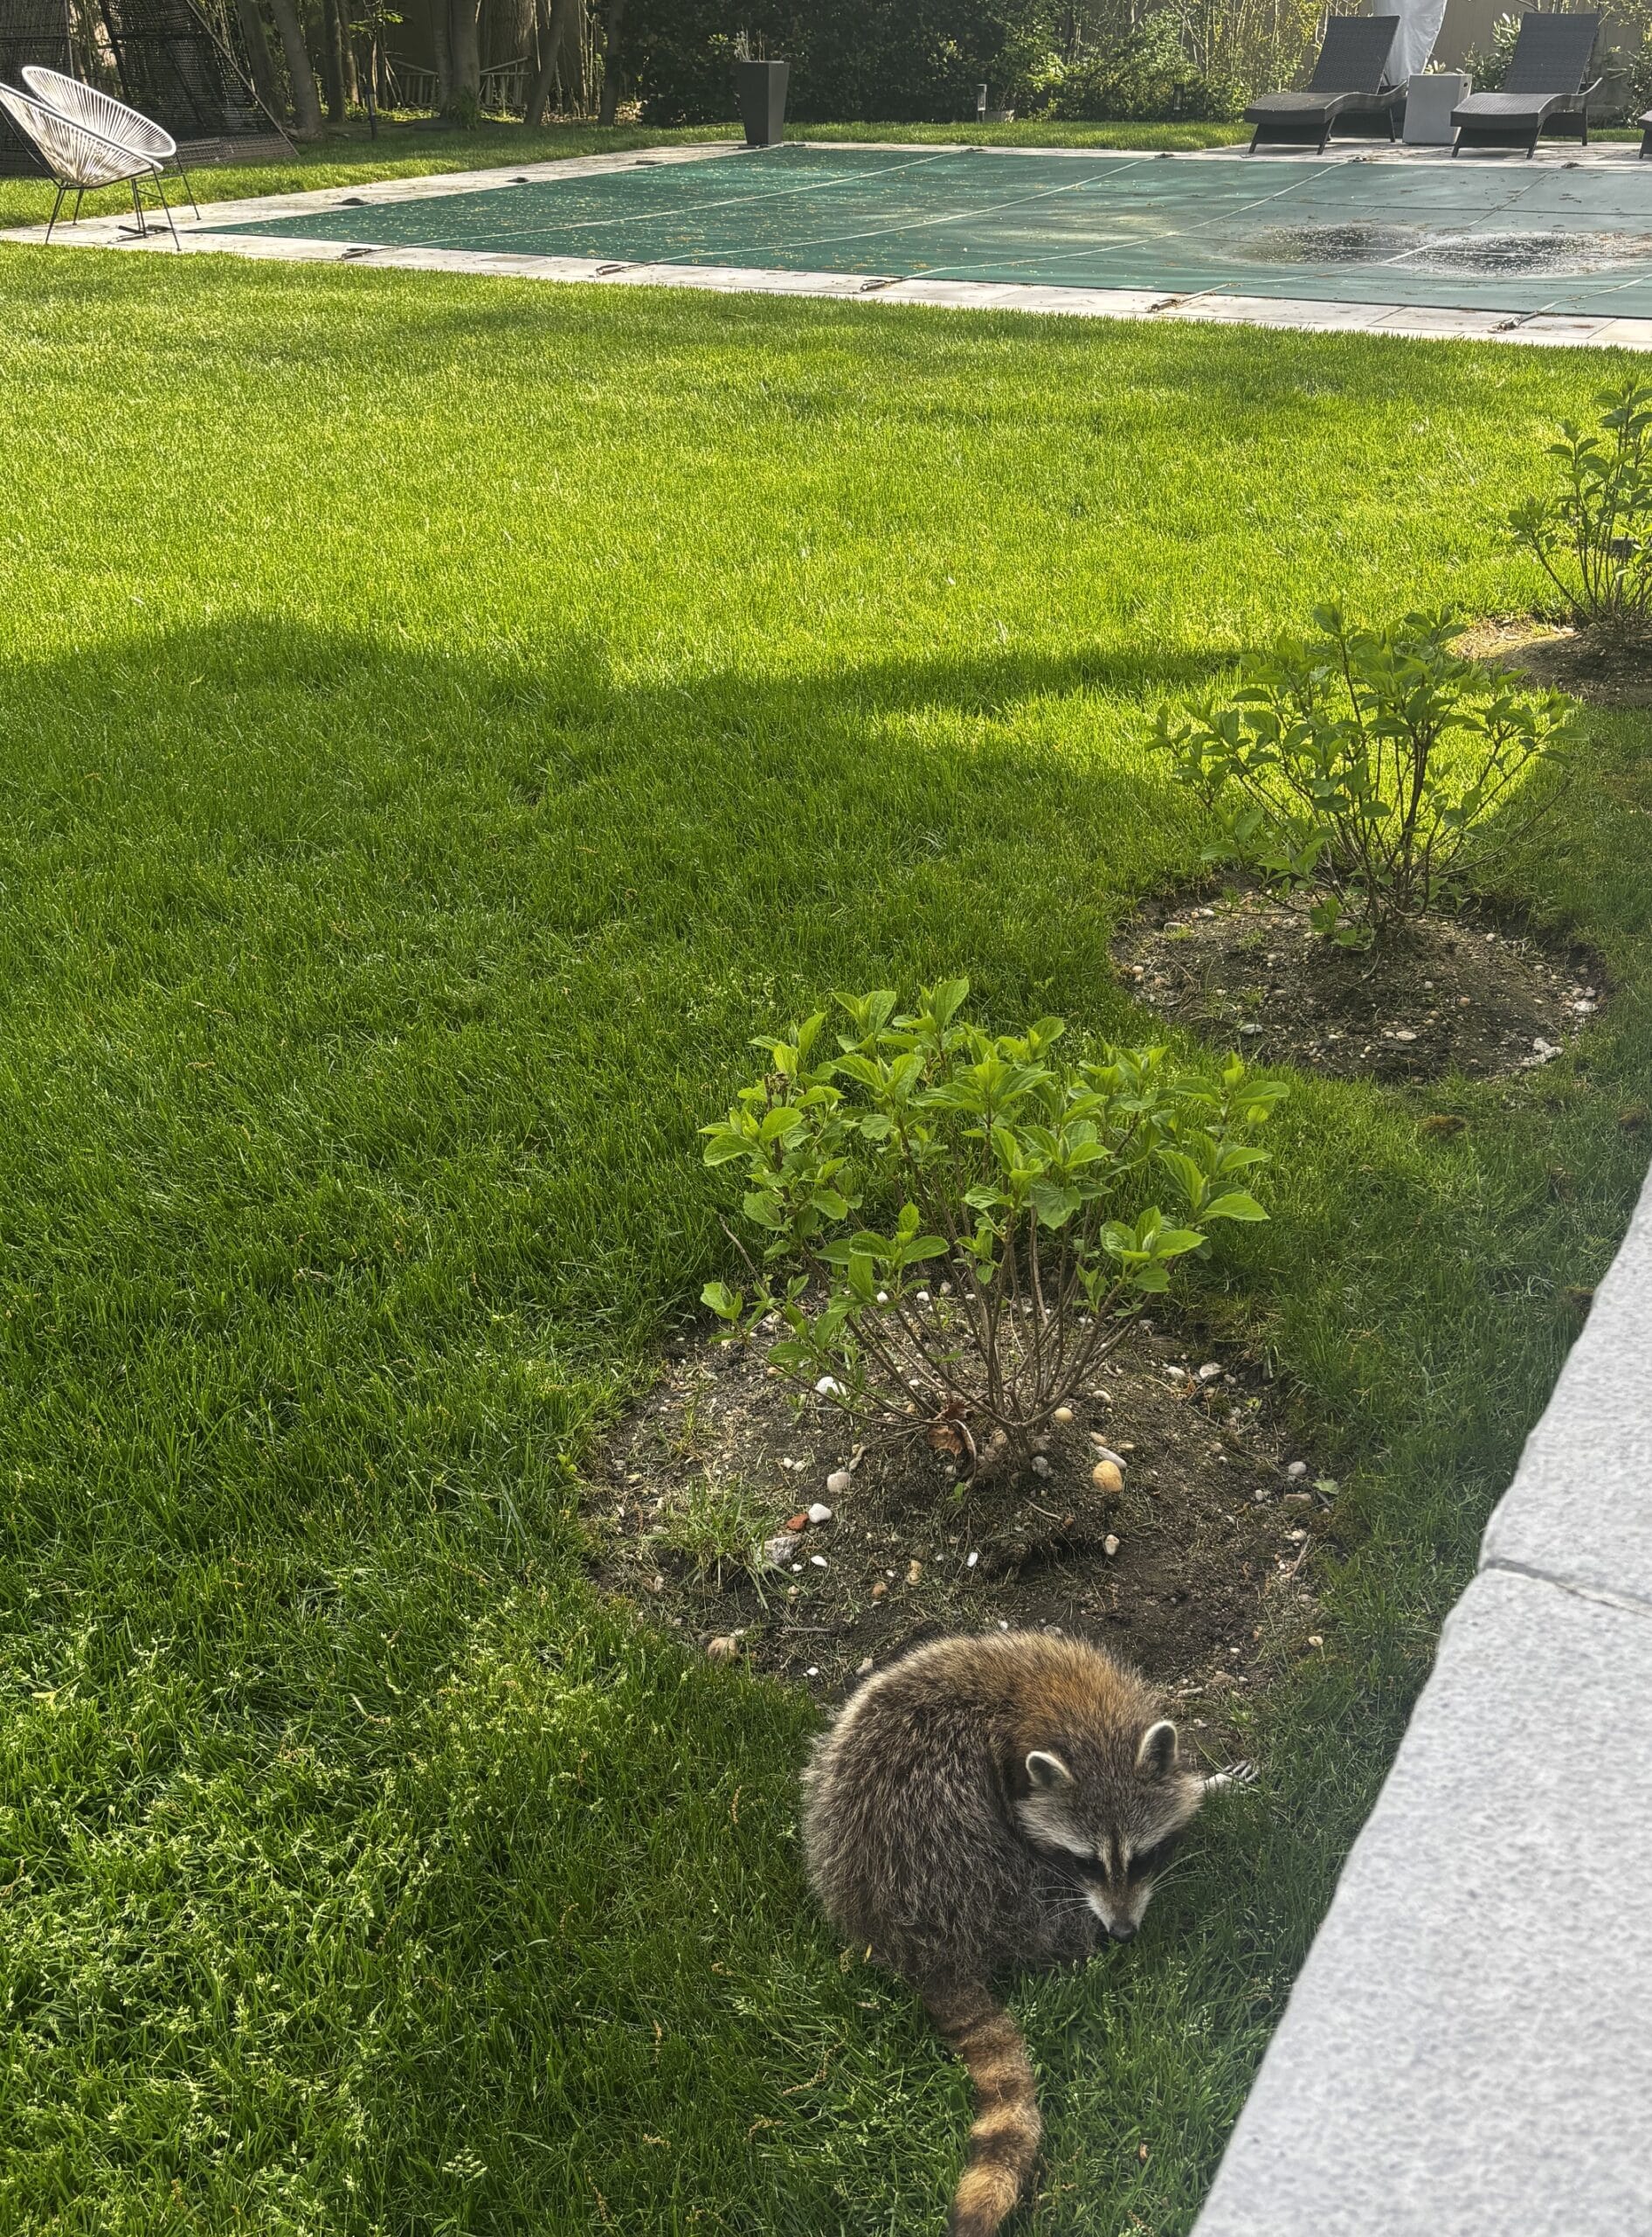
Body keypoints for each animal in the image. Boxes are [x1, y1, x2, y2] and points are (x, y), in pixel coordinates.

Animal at [801, 1630, 1245, 2236]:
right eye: (1083, 1862)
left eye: (1142, 1857)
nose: (1123, 1931)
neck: (1082, 1716)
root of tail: (905, 1939)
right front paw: (1205, 1789)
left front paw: (1204, 1783)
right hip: (968, 1865)